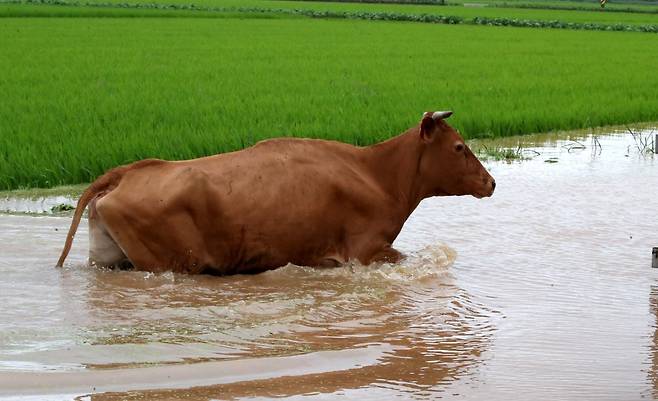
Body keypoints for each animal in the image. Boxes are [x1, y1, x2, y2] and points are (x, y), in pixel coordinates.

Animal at [56, 111, 494, 274]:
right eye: (459, 147)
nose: (491, 182)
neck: (378, 174)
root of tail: (130, 170)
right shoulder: (366, 250)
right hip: (172, 261)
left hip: (109, 257)